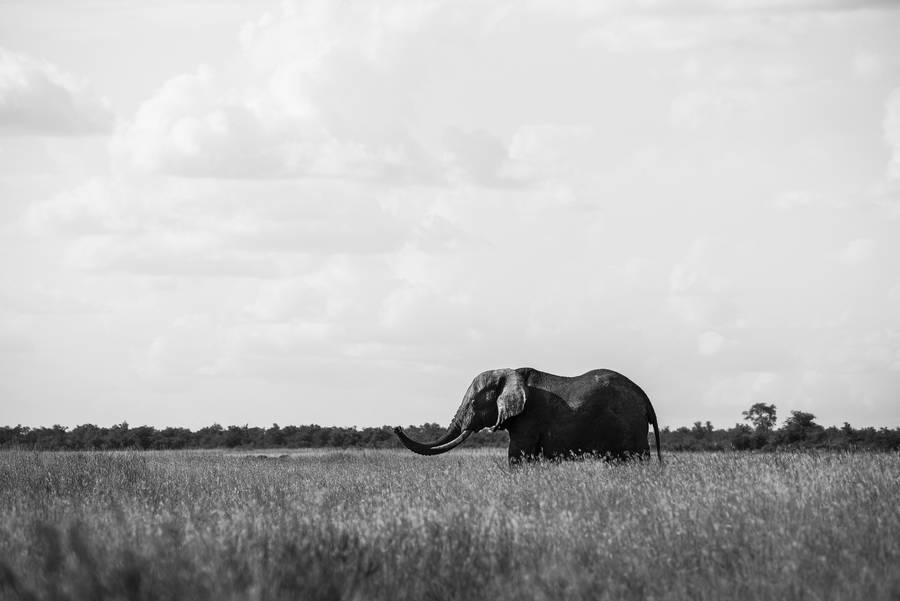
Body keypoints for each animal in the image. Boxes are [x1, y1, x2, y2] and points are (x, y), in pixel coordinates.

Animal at [394, 367, 661, 464]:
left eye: (473, 402)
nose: (396, 427)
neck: (510, 372)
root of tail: (644, 396)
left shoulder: (529, 417)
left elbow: (517, 454)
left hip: (629, 423)